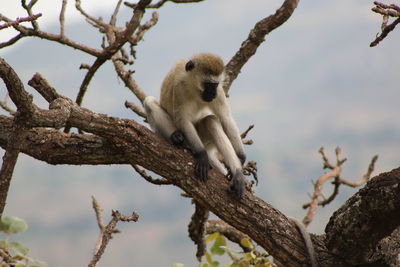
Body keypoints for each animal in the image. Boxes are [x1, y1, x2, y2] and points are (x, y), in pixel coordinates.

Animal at [142, 53, 245, 198]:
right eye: (208, 84)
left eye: (215, 85)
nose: (212, 93)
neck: (194, 87)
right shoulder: (178, 88)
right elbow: (183, 120)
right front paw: (201, 155)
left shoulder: (219, 92)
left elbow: (226, 118)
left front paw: (241, 158)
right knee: (149, 101)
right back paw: (177, 138)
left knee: (211, 121)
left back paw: (237, 174)